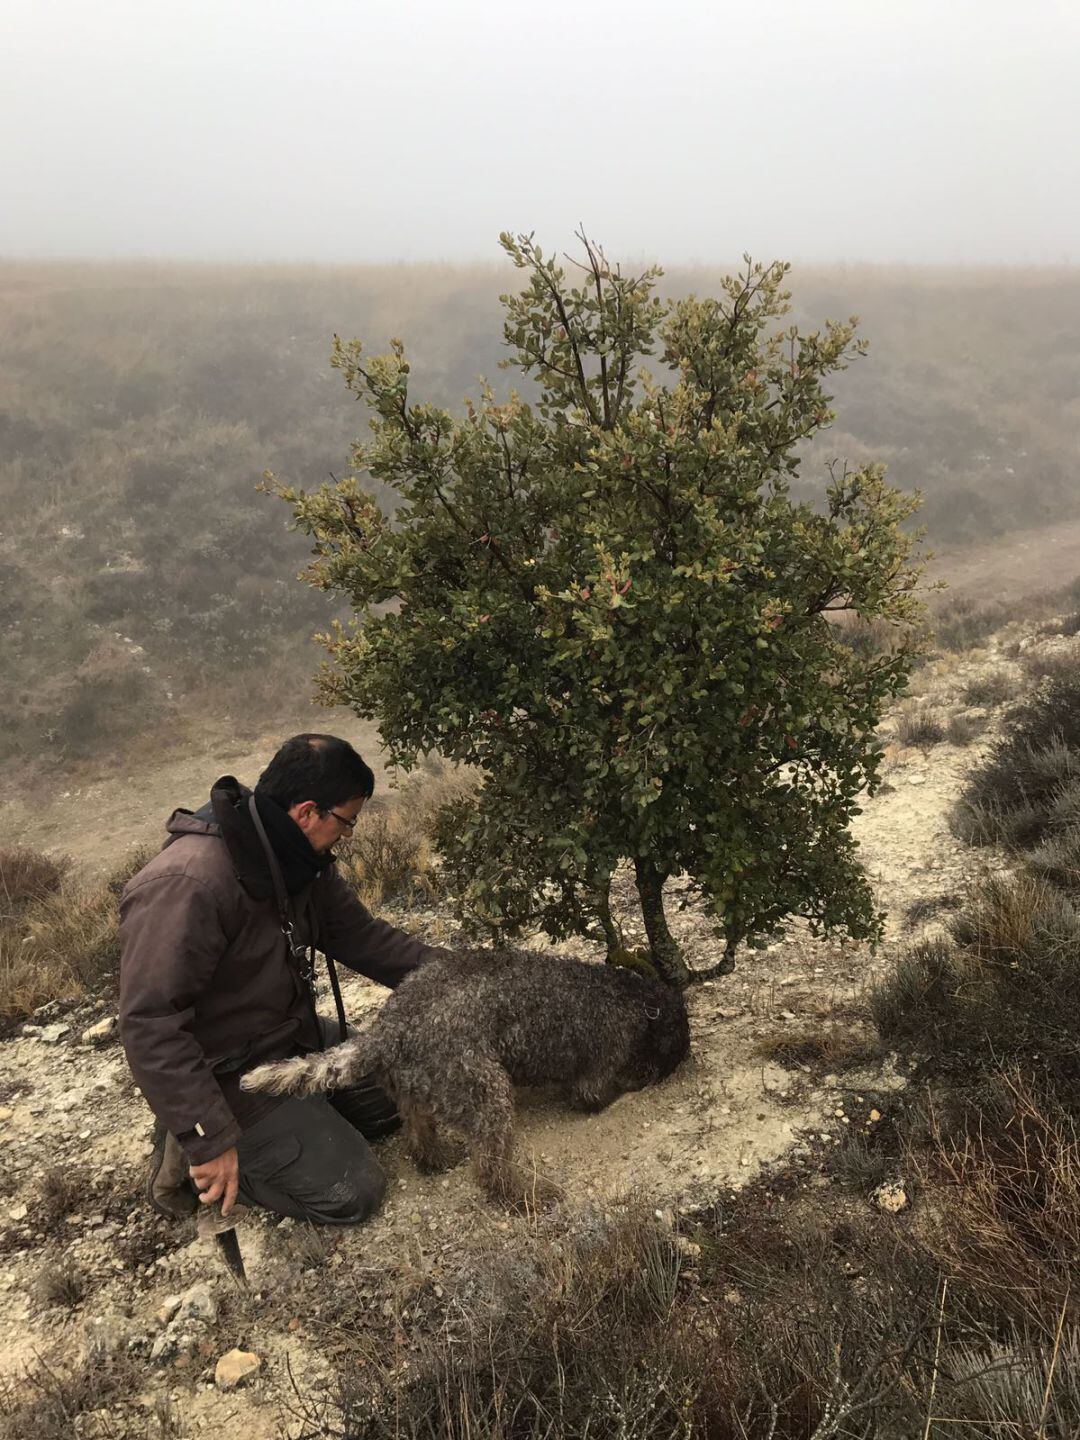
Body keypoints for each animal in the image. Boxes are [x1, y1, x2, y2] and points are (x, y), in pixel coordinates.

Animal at [240, 950, 688, 1209]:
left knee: (418, 1134)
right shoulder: (602, 1057)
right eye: (677, 1036)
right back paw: (524, 1194)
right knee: (489, 1168)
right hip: (482, 1089)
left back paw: (435, 1158)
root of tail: (387, 1030)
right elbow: (593, 1094)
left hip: (418, 1091)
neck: (630, 997)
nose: (681, 1062)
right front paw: (625, 1091)